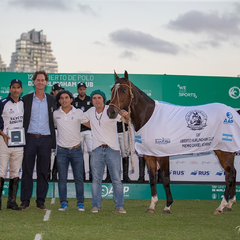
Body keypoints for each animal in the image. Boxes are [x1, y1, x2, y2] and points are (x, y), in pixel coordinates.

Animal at [108, 70, 239, 215]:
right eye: (112, 89)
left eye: (124, 90)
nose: (111, 112)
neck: (148, 116)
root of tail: (233, 112)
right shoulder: (149, 155)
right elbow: (152, 179)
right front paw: (152, 206)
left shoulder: (163, 154)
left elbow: (165, 179)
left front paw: (167, 206)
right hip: (227, 151)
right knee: (232, 173)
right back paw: (229, 204)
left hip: (224, 150)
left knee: (229, 174)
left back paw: (221, 206)